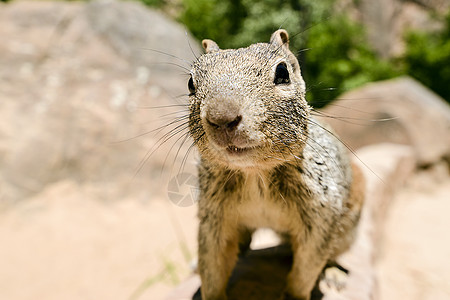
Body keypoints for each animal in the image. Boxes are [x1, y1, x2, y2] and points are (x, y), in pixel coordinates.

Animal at [186, 29, 366, 300]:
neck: (254, 172)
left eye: (282, 73)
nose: (221, 117)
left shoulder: (322, 213)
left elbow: (307, 267)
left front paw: (293, 295)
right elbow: (213, 265)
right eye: (190, 83)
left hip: (348, 224)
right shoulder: (213, 217)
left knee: (334, 253)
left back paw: (334, 274)